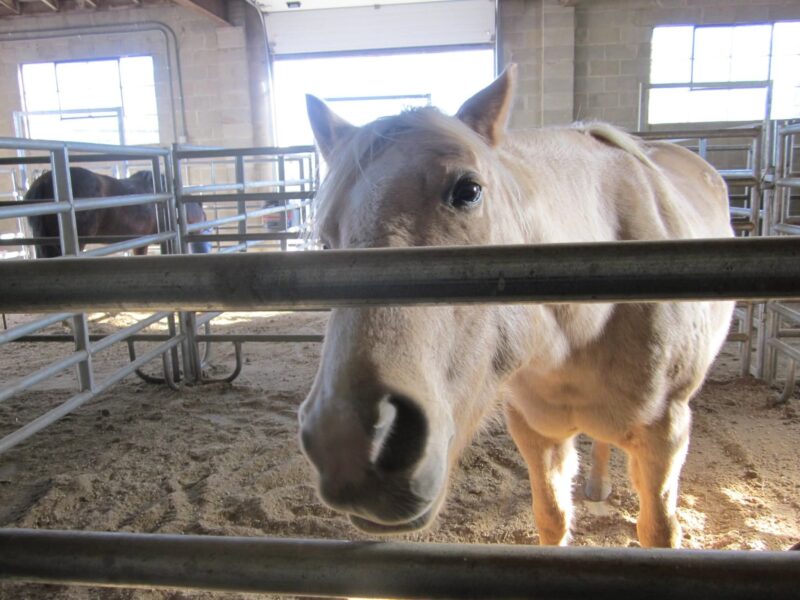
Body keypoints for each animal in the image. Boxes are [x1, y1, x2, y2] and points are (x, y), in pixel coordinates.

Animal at [298, 64, 734, 548]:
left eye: (468, 191)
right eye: (326, 240)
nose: (348, 444)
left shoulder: (665, 438)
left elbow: (658, 530)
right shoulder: (535, 431)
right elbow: (552, 518)